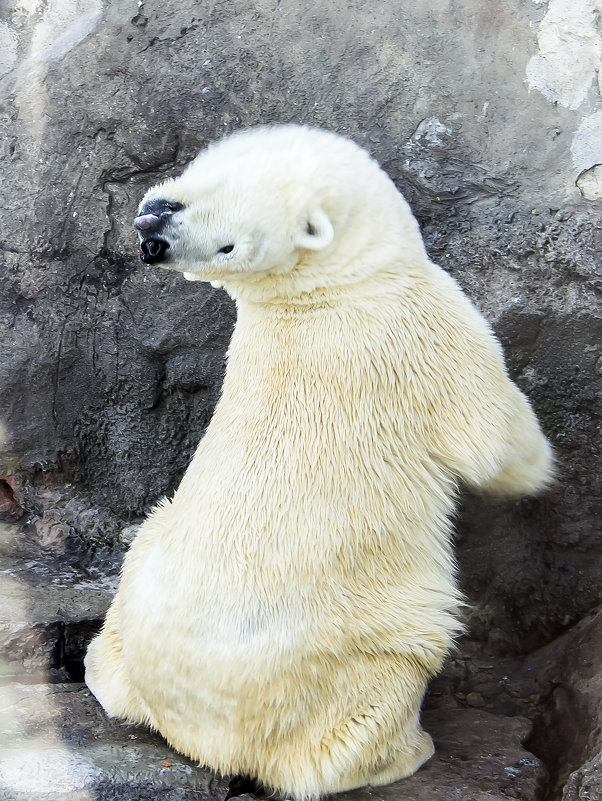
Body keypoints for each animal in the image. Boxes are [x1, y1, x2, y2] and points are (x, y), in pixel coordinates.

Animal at [85, 125, 552, 800]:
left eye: (227, 247)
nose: (152, 240)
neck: (319, 289)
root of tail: (206, 740)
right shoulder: (423, 320)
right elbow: (496, 441)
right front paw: (539, 465)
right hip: (361, 645)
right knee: (384, 684)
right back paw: (409, 750)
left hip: (147, 564)